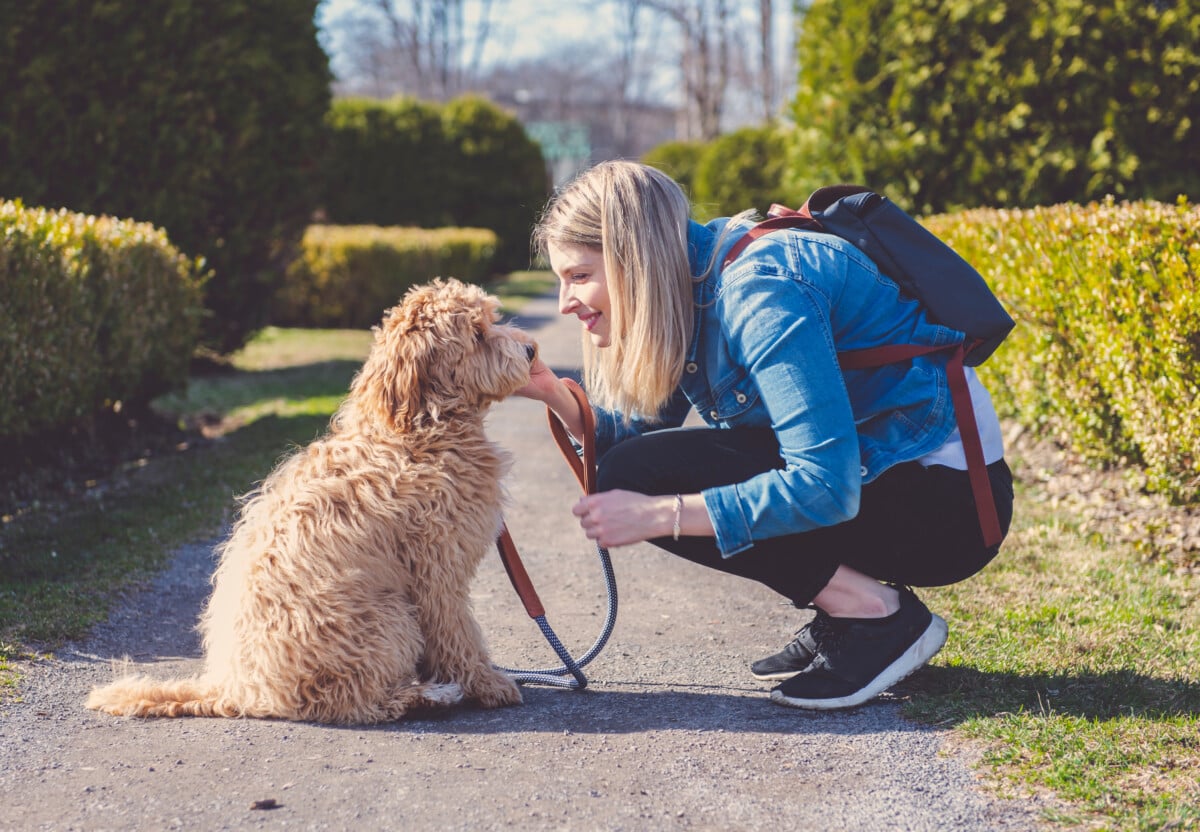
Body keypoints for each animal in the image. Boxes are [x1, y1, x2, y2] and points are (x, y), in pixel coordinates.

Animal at [91, 277, 542, 720]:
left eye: (491, 320)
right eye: (478, 334)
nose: (531, 350)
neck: (415, 433)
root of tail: (237, 689)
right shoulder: (437, 573)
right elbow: (458, 634)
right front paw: (486, 683)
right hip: (387, 619)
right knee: (354, 700)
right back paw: (429, 695)